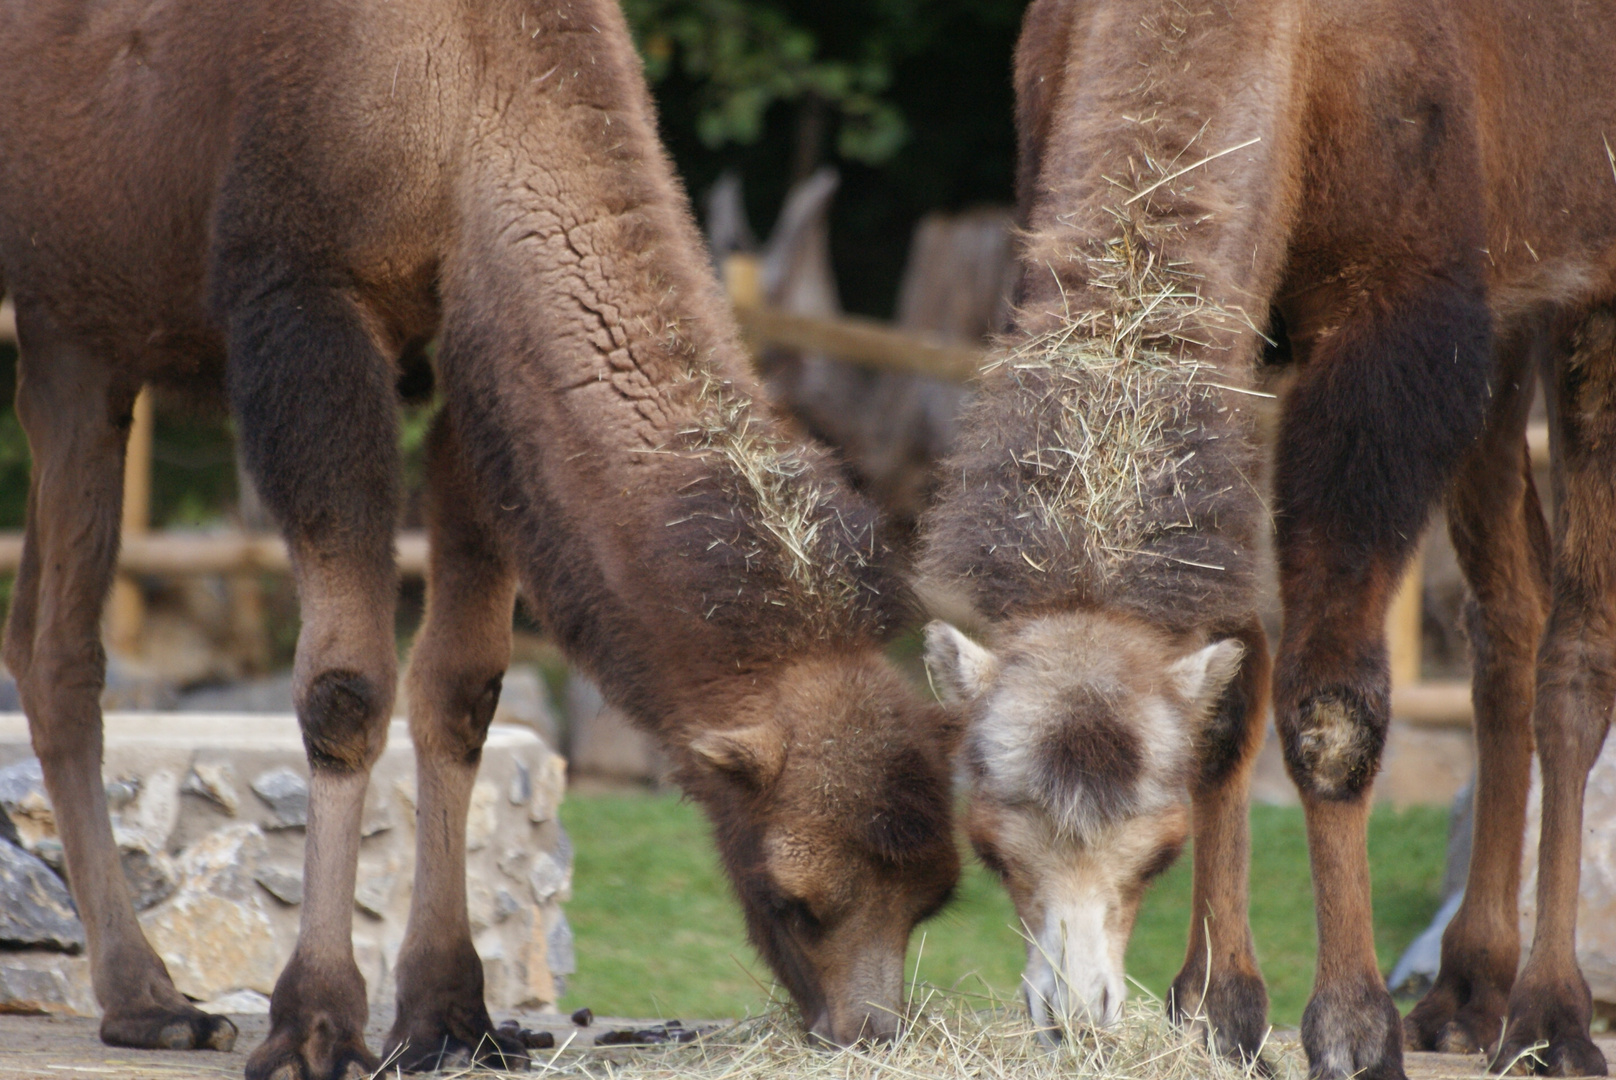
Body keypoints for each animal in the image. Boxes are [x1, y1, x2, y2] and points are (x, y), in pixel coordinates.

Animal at [0, 4, 956, 1073]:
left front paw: (452, 1016)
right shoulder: (301, 298)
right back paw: (152, 997)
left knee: (44, 639)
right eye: (799, 901)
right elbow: (344, 687)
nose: (867, 1031)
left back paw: (148, 1000)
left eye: (932, 901)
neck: (470, 94)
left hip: (74, 332)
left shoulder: (472, 351)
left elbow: (461, 688)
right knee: (68, 645)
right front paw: (316, 1021)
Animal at [924, 2, 1616, 1080]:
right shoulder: (1252, 326)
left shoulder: (1395, 329)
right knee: (1508, 613)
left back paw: (1551, 1018)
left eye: (1158, 848)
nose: (1072, 1018)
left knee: (1575, 650)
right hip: (1500, 314)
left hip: (1587, 282)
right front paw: (1217, 1006)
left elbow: (1330, 709)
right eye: (987, 844)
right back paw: (1466, 997)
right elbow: (1229, 687)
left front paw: (1352, 1028)